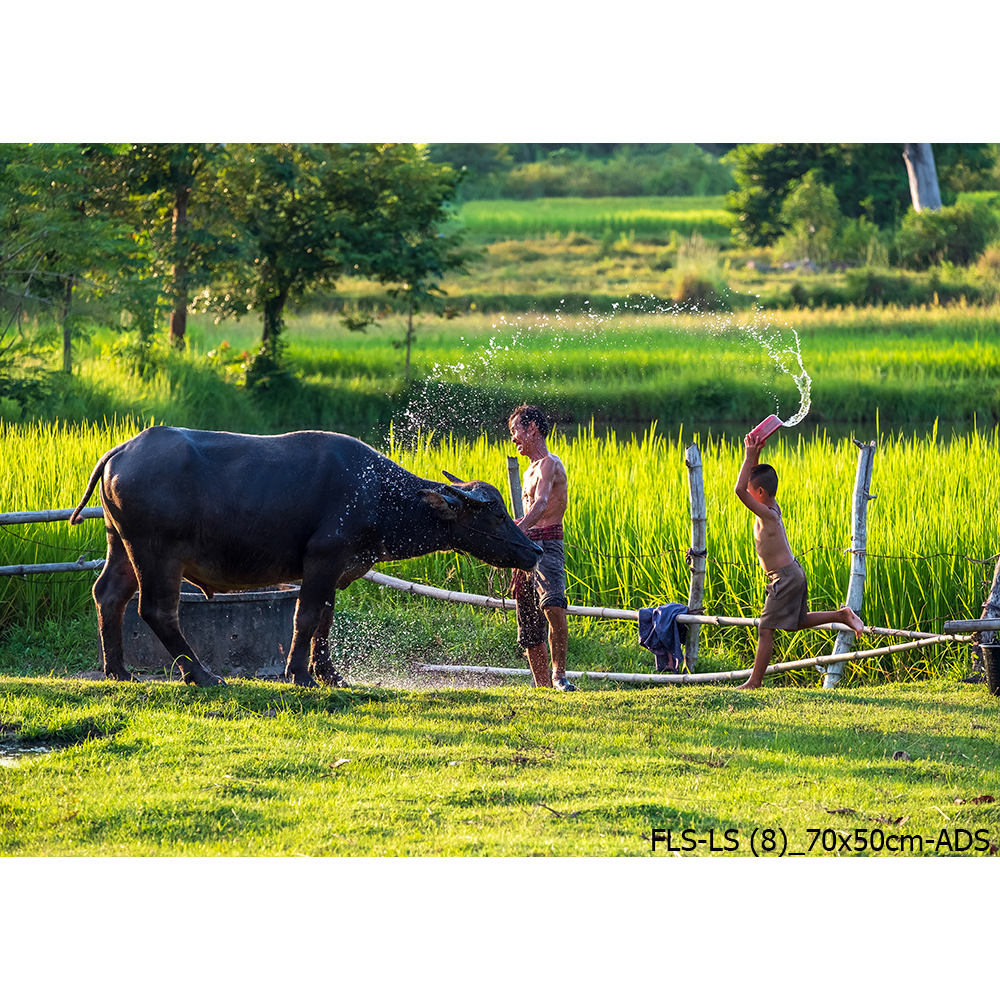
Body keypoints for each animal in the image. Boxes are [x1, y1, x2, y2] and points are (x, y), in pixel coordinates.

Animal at [71, 422, 544, 688]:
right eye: (494, 514)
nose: (535, 549)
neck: (377, 494)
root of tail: (121, 451)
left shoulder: (337, 568)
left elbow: (326, 621)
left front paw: (331, 674)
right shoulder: (321, 560)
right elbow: (306, 616)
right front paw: (300, 675)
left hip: (121, 544)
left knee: (108, 595)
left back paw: (118, 670)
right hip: (158, 553)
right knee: (156, 609)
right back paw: (201, 675)